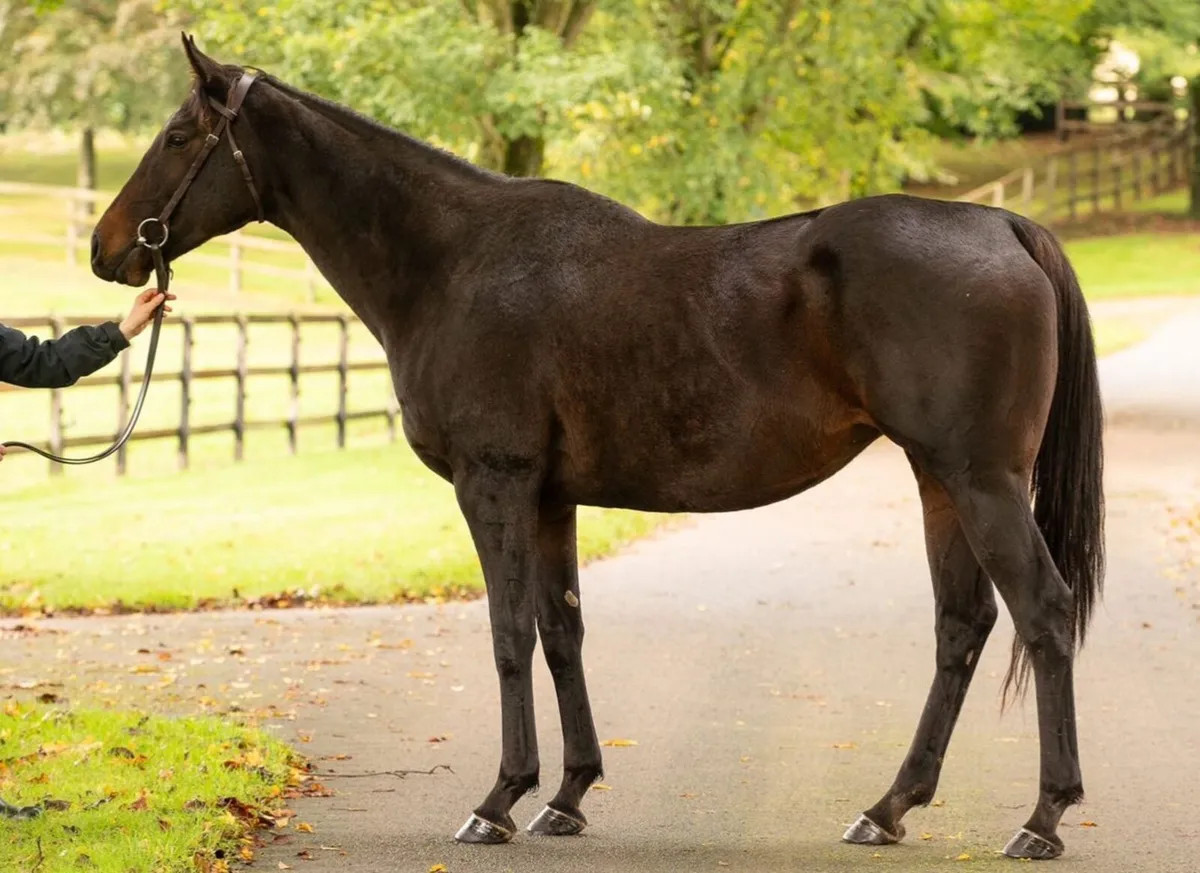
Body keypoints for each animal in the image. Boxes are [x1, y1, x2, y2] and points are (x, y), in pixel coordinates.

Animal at [91, 34, 1104, 861]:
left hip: (981, 480)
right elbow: (562, 629)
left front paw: (499, 799)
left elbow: (508, 632)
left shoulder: (493, 484)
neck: (454, 260)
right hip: (940, 481)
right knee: (961, 626)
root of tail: (1002, 224)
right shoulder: (550, 496)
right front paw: (569, 795)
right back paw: (889, 806)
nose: (109, 250)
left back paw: (1042, 817)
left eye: (178, 136)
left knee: (1044, 613)